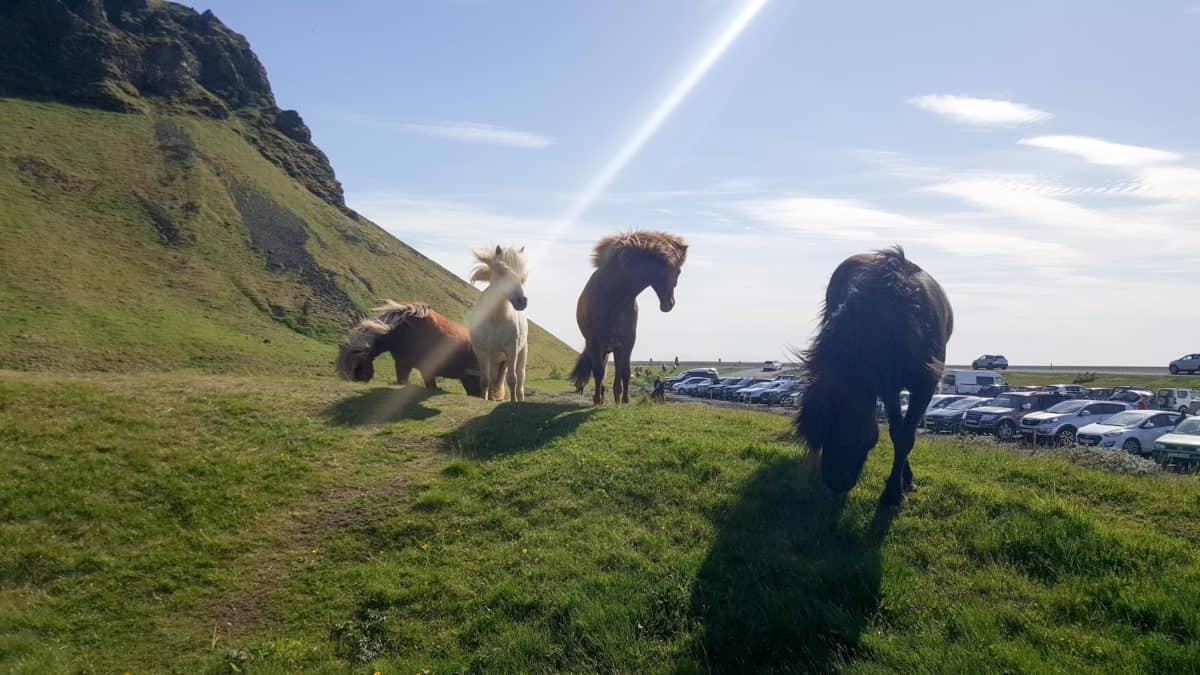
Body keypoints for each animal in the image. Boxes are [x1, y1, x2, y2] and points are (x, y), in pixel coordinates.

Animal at [333, 299, 482, 393]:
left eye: (357, 366)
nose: (356, 380)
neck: (401, 331)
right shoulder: (402, 365)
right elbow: (402, 381)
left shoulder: (427, 370)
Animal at [465, 243, 528, 398]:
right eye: (502, 272)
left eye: (522, 277)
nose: (522, 301)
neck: (495, 321)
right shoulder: (482, 352)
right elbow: (485, 381)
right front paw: (484, 398)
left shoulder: (512, 350)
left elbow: (512, 380)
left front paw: (513, 401)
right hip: (494, 361)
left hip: (520, 357)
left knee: (520, 384)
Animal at [568, 230, 686, 398]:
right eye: (678, 272)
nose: (669, 304)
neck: (614, 300)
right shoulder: (596, 343)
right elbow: (598, 373)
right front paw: (597, 399)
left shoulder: (627, 344)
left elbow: (625, 373)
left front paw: (624, 400)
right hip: (600, 348)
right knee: (601, 373)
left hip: (613, 349)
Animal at [796, 243, 955, 502]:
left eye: (846, 425)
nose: (834, 482)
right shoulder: (888, 386)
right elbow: (897, 432)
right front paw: (898, 485)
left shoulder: (924, 386)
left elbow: (905, 436)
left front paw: (893, 494)